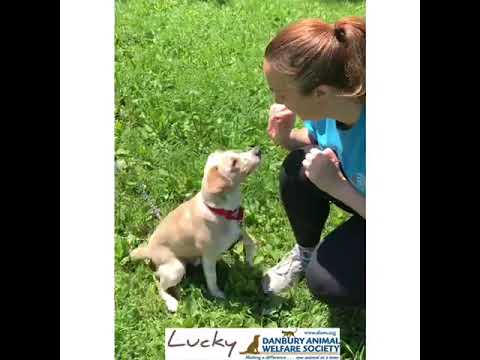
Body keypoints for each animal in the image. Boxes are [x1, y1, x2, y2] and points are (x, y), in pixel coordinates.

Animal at [129, 146, 260, 312]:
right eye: (234, 163)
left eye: (236, 152)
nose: (258, 151)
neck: (220, 210)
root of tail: (148, 249)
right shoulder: (209, 257)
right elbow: (212, 279)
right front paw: (217, 294)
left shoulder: (239, 231)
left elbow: (251, 243)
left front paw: (249, 262)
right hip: (176, 268)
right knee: (158, 281)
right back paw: (171, 302)